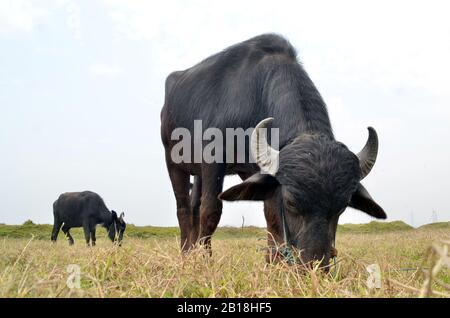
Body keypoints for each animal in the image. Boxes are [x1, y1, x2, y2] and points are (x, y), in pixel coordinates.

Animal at [160, 34, 384, 268]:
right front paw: (206, 260)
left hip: (199, 172)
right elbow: (211, 210)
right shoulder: (214, 161)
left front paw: (273, 263)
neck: (253, 95)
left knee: (194, 205)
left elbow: (271, 214)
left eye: (342, 207)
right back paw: (186, 254)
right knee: (184, 208)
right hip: (173, 162)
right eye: (291, 202)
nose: (314, 266)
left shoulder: (258, 172)